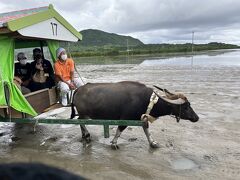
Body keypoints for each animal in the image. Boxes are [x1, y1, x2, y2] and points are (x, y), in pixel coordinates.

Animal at [71, 81, 199, 149]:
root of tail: (79, 89)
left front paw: (153, 143)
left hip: (83, 114)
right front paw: (114, 143)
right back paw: (87, 135)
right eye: (186, 106)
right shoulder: (125, 119)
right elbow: (119, 130)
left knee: (79, 121)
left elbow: (147, 130)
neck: (148, 100)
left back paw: (85, 136)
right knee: (80, 122)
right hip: (84, 114)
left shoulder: (143, 118)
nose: (196, 118)